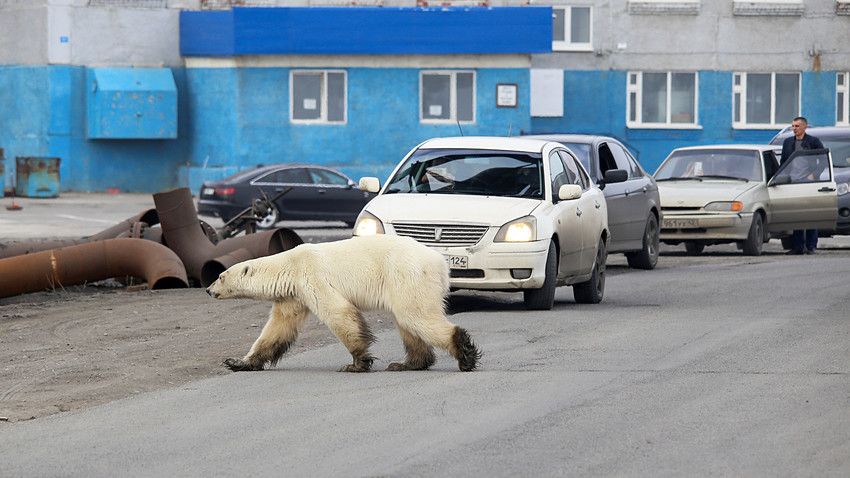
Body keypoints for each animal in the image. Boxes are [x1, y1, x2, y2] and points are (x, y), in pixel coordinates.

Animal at [205, 235, 476, 374]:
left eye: (220, 276)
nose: (208, 289)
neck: (289, 265)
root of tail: (440, 261)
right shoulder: (293, 295)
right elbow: (277, 328)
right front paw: (238, 362)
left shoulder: (311, 275)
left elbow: (338, 313)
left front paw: (356, 364)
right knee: (408, 323)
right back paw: (407, 363)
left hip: (407, 274)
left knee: (415, 315)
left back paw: (465, 354)